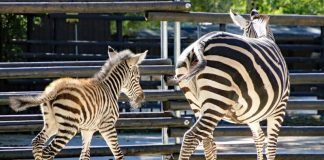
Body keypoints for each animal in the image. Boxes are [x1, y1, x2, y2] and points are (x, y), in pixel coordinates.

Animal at [9, 46, 147, 160]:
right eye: (137, 77)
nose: (142, 97)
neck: (110, 88)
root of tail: (55, 89)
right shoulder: (107, 125)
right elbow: (118, 154)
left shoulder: (88, 129)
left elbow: (84, 155)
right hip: (68, 127)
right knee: (48, 152)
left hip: (52, 123)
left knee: (37, 143)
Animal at [175, 10, 292, 160]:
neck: (263, 35)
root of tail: (201, 42)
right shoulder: (280, 107)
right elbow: (271, 147)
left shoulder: (252, 114)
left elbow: (259, 138)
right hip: (217, 98)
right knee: (192, 137)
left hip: (196, 102)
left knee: (208, 142)